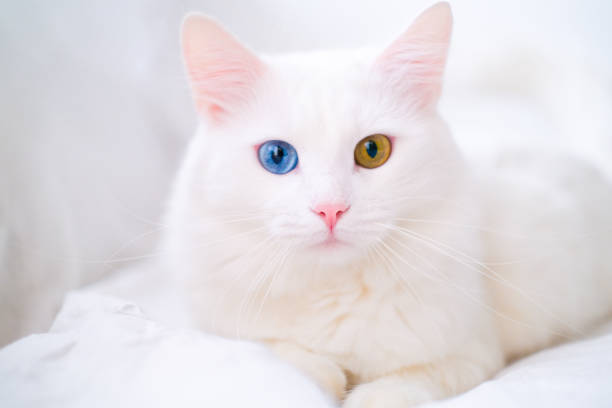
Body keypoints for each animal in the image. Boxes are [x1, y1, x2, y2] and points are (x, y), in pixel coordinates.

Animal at [163, 2, 612, 404]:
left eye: (373, 151)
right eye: (277, 156)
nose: (330, 209)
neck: (332, 291)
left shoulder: (470, 354)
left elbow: (389, 391)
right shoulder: (224, 327)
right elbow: (292, 358)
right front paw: (323, 372)